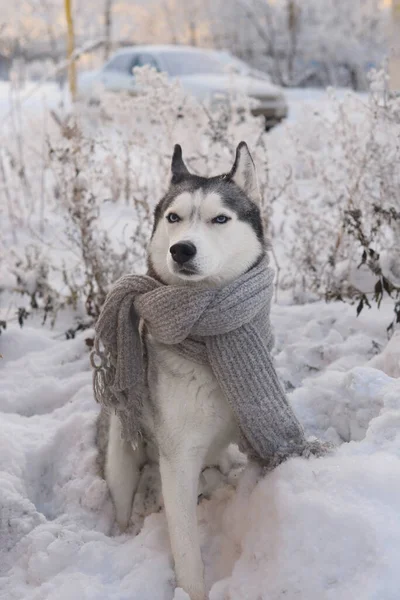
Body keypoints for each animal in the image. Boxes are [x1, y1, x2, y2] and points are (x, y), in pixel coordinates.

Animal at [97, 142, 266, 600]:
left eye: (220, 218)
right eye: (173, 218)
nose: (182, 250)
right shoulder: (178, 461)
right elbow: (187, 549)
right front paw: (192, 590)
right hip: (122, 456)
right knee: (122, 500)